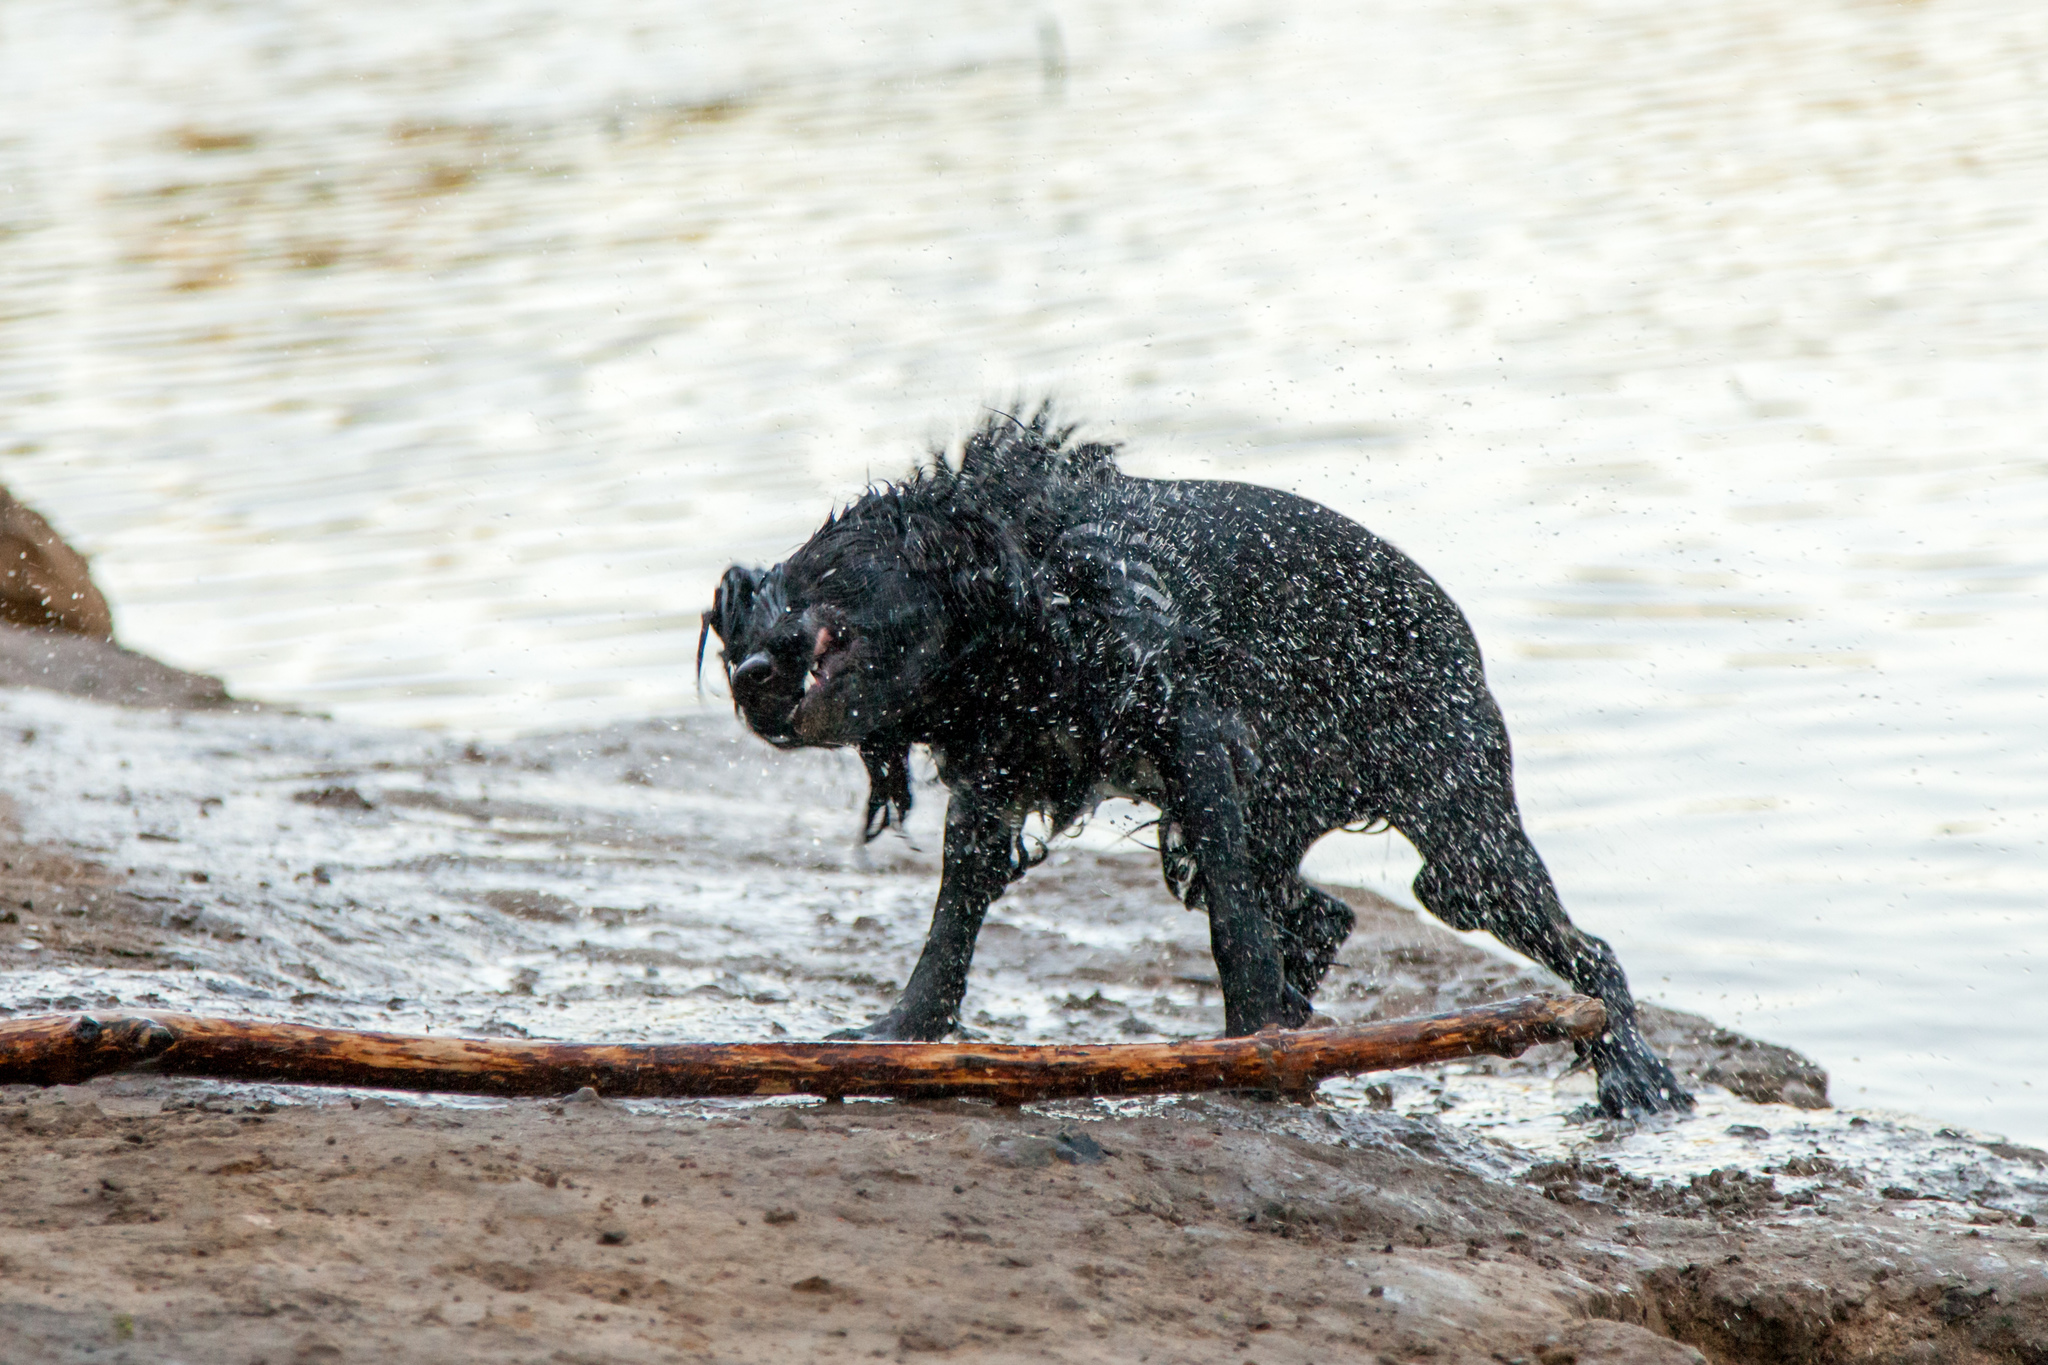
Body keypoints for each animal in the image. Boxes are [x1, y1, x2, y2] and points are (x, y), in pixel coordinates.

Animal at [704, 411, 1695, 1113]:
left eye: (824, 577)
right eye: (755, 612)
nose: (751, 676)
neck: (1030, 598)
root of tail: (1461, 637)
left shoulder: (1194, 744)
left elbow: (1235, 934)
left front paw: (1251, 1043)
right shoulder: (997, 777)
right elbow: (951, 923)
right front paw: (902, 1030)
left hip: (1462, 845)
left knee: (1587, 948)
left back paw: (1631, 1073)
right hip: (1296, 824)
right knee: (1324, 913)